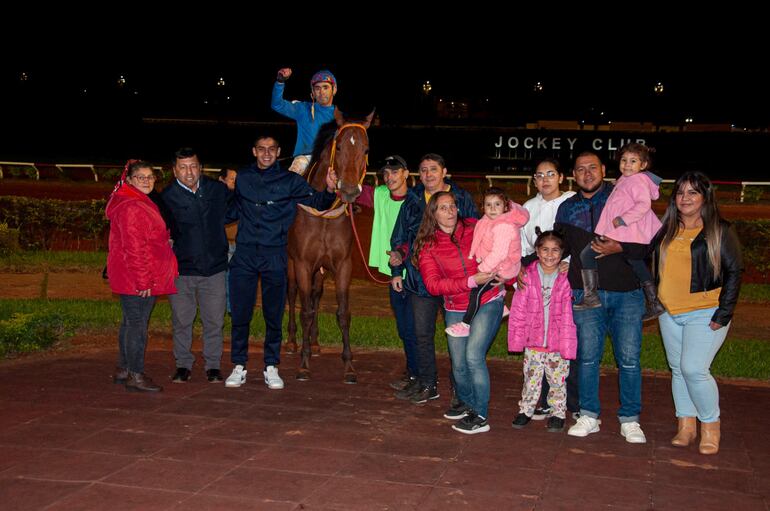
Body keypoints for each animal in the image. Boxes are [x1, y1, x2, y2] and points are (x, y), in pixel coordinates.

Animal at [286, 108, 374, 382]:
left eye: (365, 149)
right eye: (341, 146)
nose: (349, 191)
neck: (323, 212)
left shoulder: (343, 265)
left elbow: (343, 313)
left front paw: (349, 365)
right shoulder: (302, 263)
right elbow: (305, 311)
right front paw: (303, 364)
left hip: (320, 271)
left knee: (315, 295)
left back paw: (314, 343)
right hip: (290, 264)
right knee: (292, 295)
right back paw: (292, 342)